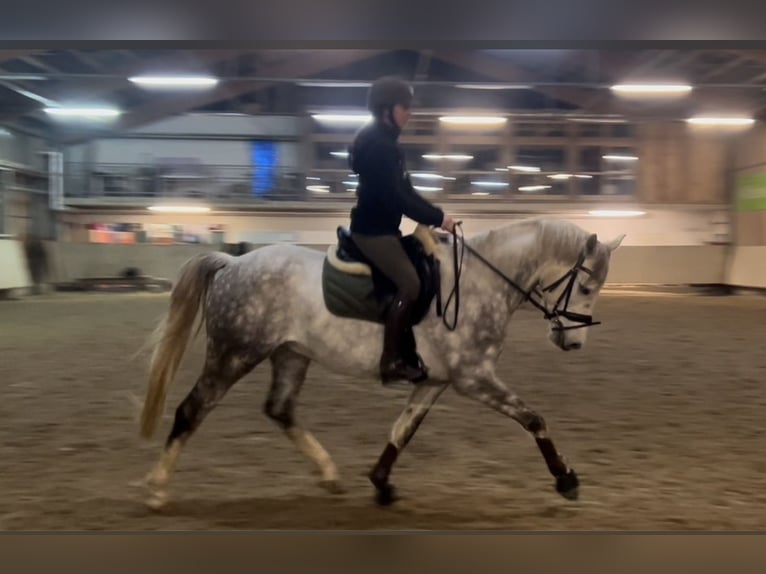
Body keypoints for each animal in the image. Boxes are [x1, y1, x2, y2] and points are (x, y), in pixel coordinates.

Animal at [137, 216, 624, 509]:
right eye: (585, 286)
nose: (573, 342)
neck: (482, 281)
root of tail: (232, 261)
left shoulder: (436, 380)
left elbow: (402, 429)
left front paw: (380, 481)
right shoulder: (474, 377)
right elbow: (533, 418)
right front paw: (566, 479)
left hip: (290, 354)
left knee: (279, 409)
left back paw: (330, 475)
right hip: (235, 352)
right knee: (191, 410)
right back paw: (157, 490)